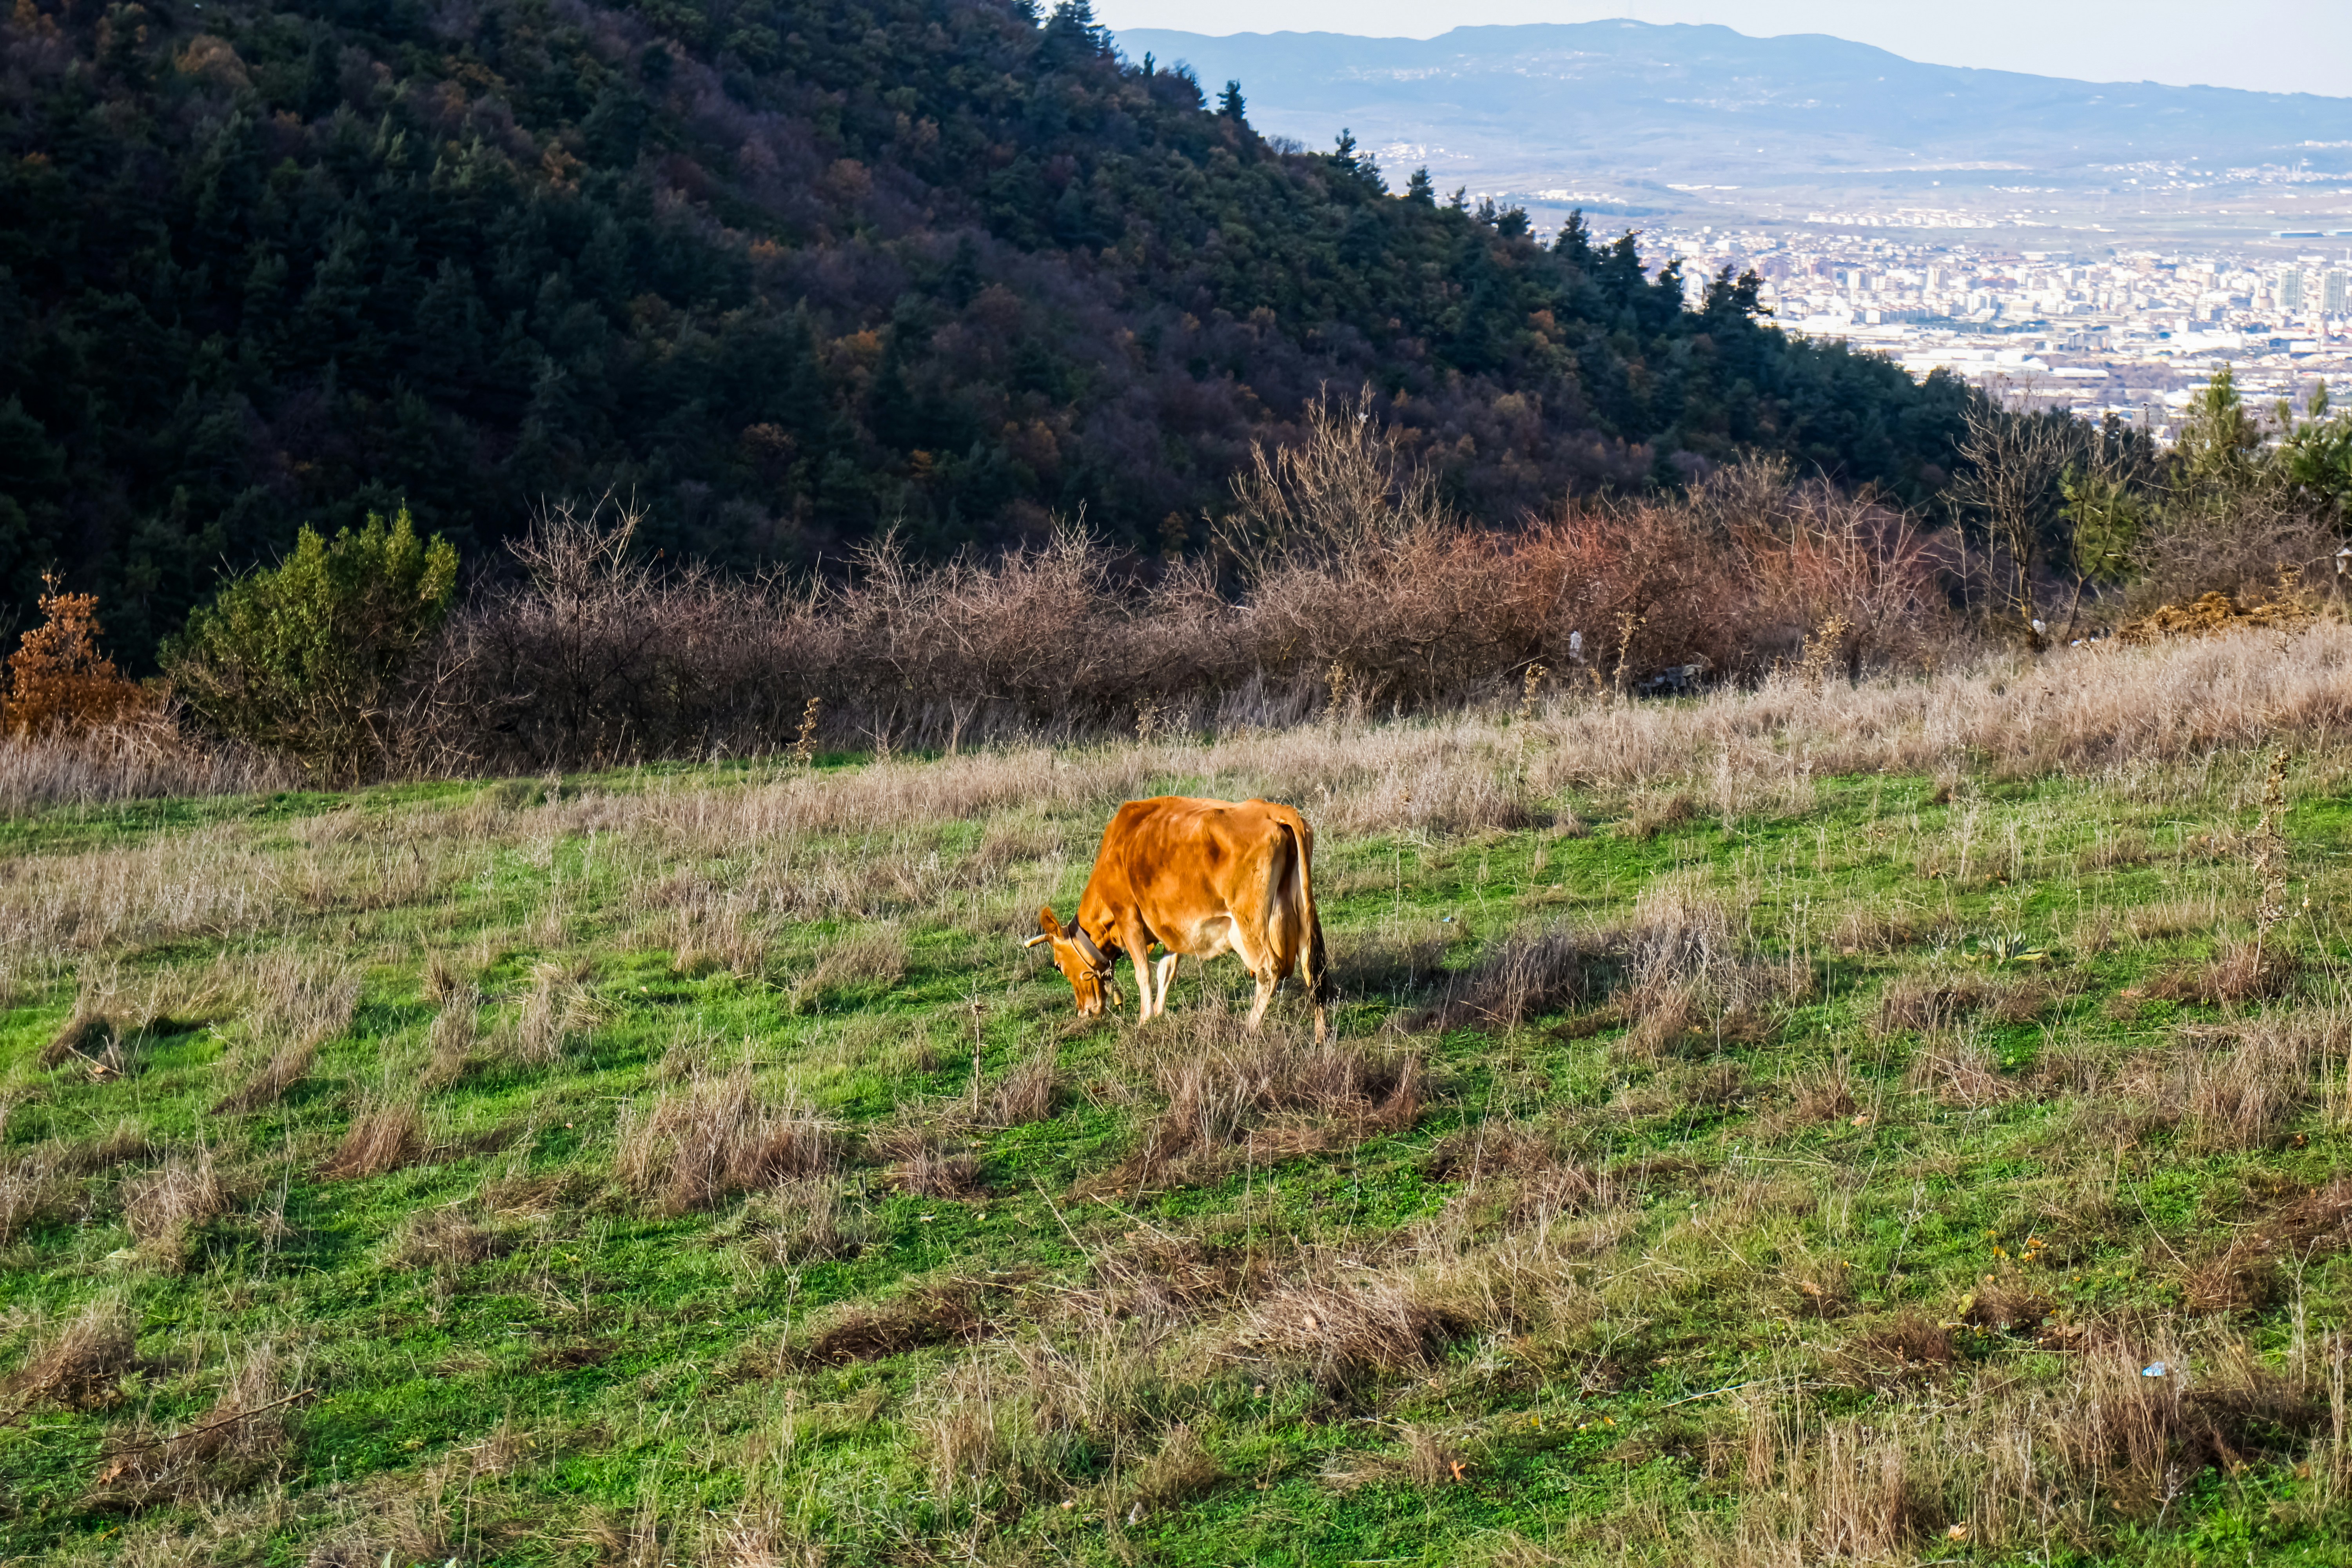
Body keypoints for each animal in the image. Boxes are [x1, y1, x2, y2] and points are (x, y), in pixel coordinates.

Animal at [1025, 796, 1329, 1041]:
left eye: (1058, 966)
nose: (1085, 1011)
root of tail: (1272, 810)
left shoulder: (1128, 916)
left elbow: (1144, 972)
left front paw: (1145, 1019)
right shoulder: (1171, 927)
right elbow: (1166, 969)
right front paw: (1159, 1013)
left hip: (1250, 921)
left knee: (1269, 969)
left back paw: (1250, 1027)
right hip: (1300, 912)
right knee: (1311, 968)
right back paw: (1320, 1035)